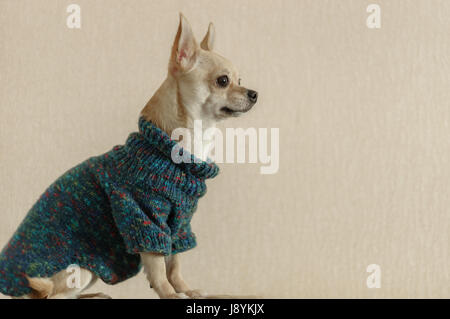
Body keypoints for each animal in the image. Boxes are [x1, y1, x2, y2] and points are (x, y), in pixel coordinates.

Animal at [1, 13, 256, 298]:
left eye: (240, 80)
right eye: (223, 81)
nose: (254, 93)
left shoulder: (178, 224)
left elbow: (175, 262)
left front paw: (186, 290)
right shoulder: (144, 218)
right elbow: (158, 265)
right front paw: (169, 293)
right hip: (79, 269)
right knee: (53, 295)